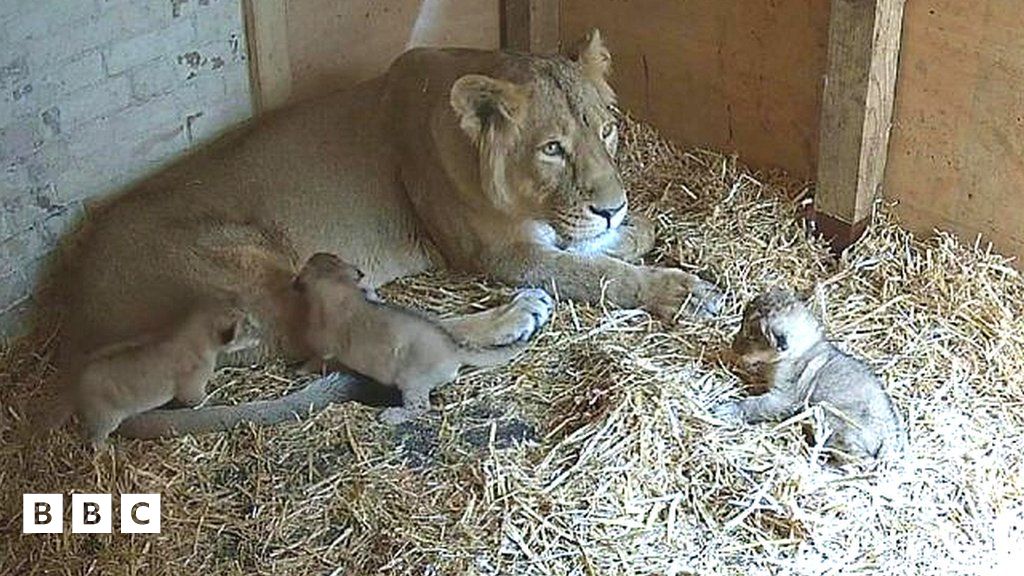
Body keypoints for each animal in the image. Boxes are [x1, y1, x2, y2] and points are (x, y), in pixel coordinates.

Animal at [39, 31, 720, 434]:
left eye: (607, 130)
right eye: (552, 148)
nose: (612, 205)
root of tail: (75, 323)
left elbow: (596, 247)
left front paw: (631, 228)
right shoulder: (495, 253)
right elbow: (593, 272)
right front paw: (679, 289)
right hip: (252, 269)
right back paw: (516, 315)